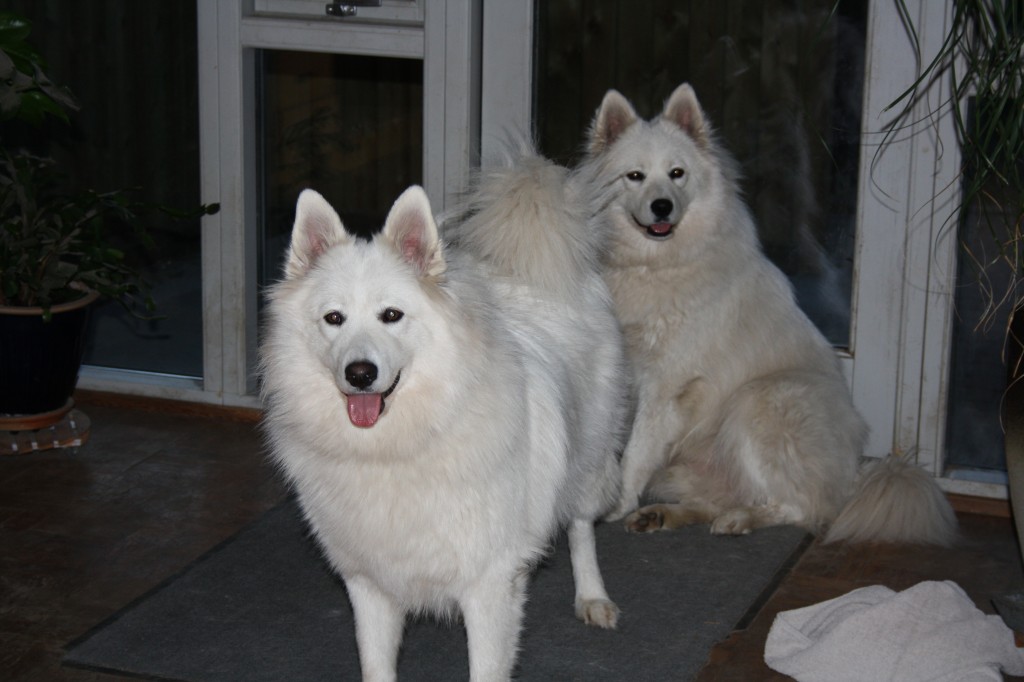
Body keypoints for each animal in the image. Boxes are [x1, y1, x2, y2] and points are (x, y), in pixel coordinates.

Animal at [581, 83, 954, 540]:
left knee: (803, 509)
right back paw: (666, 514)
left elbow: (635, 453)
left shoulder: (666, 387)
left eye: (677, 174)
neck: (655, 265)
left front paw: (615, 505)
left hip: (758, 402)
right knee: (723, 498)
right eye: (635, 176)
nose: (662, 207)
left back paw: (739, 520)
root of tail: (853, 474)